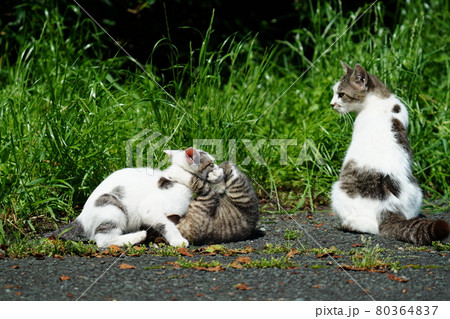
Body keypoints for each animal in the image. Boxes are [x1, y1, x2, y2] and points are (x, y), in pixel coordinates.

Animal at [44, 149, 223, 249]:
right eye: (211, 163)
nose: (218, 166)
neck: (177, 180)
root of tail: (81, 217)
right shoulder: (149, 209)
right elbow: (167, 225)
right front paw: (178, 241)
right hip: (111, 205)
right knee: (103, 241)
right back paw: (137, 236)